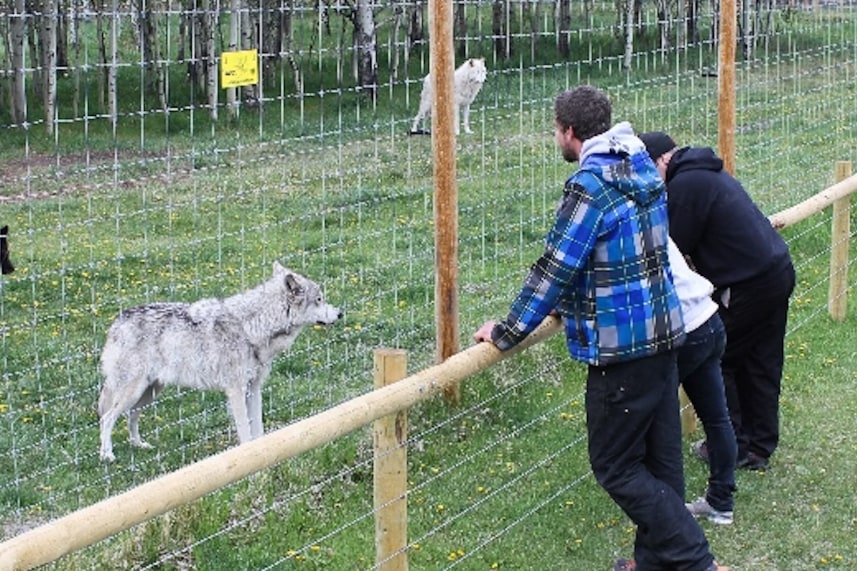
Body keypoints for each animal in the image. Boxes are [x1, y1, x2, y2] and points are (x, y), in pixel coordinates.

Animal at [98, 264, 342, 464]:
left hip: (149, 393)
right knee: (106, 418)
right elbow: (245, 430)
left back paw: (139, 445)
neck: (251, 329)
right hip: (133, 392)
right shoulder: (235, 390)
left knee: (130, 417)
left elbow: (258, 428)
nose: (340, 313)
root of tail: (117, 321)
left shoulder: (254, 388)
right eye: (319, 299)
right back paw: (107, 455)